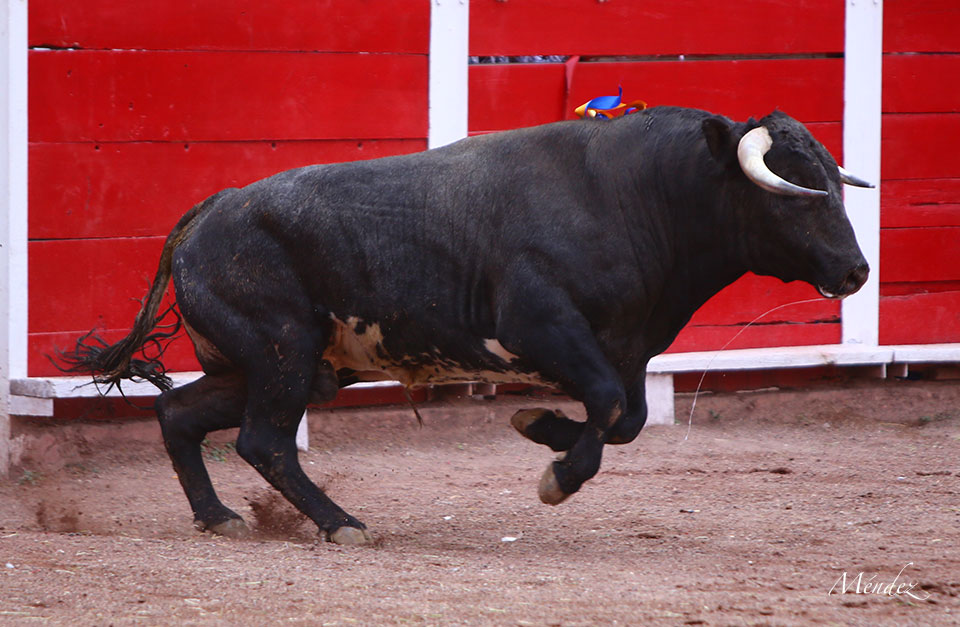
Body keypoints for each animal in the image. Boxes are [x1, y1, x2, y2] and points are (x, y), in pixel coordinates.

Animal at [62, 107, 872, 545]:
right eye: (794, 190)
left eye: (831, 183)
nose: (857, 271)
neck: (637, 194)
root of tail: (209, 211)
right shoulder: (541, 325)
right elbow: (611, 406)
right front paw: (555, 472)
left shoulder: (623, 349)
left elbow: (629, 414)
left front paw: (539, 425)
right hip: (282, 353)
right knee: (262, 440)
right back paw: (343, 523)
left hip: (277, 366)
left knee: (178, 412)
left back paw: (220, 517)